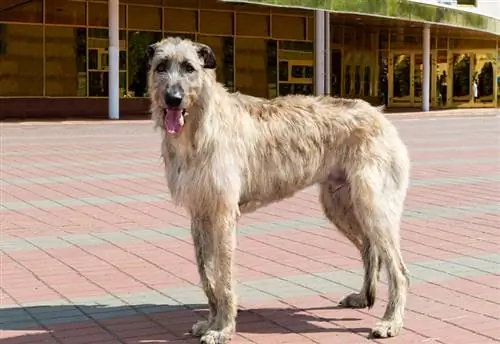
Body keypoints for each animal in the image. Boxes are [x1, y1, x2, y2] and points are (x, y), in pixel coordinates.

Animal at [147, 37, 410, 344]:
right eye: (161, 66)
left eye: (189, 67)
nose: (173, 98)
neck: (199, 125)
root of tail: (379, 115)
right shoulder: (200, 213)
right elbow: (207, 276)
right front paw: (211, 321)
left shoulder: (223, 215)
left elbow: (223, 278)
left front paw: (223, 328)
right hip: (339, 204)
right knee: (370, 249)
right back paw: (364, 296)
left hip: (373, 204)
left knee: (399, 270)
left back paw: (391, 321)